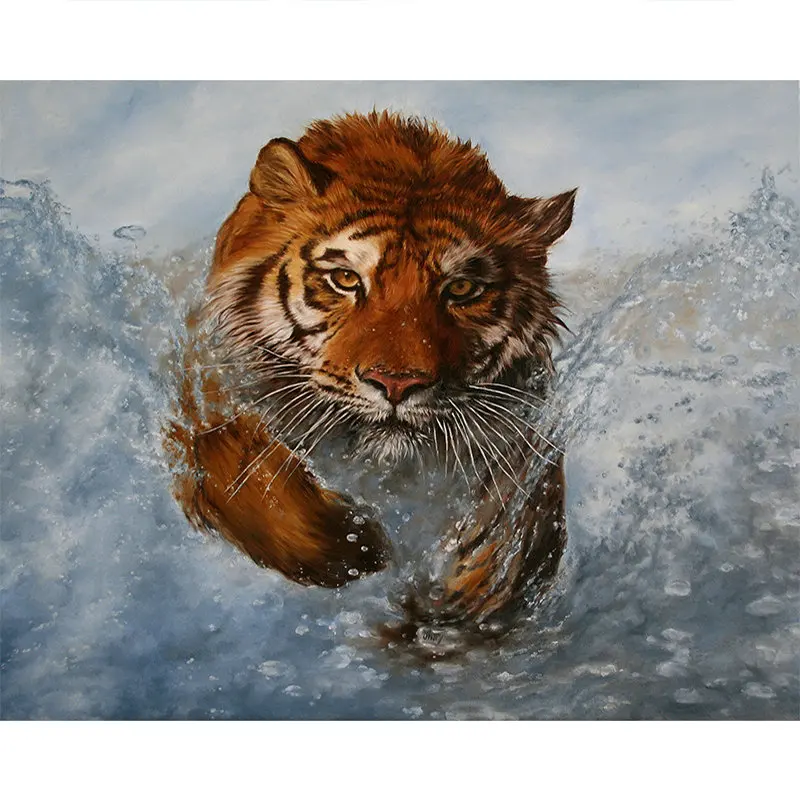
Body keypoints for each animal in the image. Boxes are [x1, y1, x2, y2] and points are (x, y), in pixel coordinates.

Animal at [164, 111, 576, 643]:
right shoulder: (206, 398)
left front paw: (479, 584)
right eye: (345, 279)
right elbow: (247, 472)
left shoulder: (525, 427)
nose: (397, 383)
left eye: (462, 289)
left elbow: (526, 508)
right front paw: (357, 548)